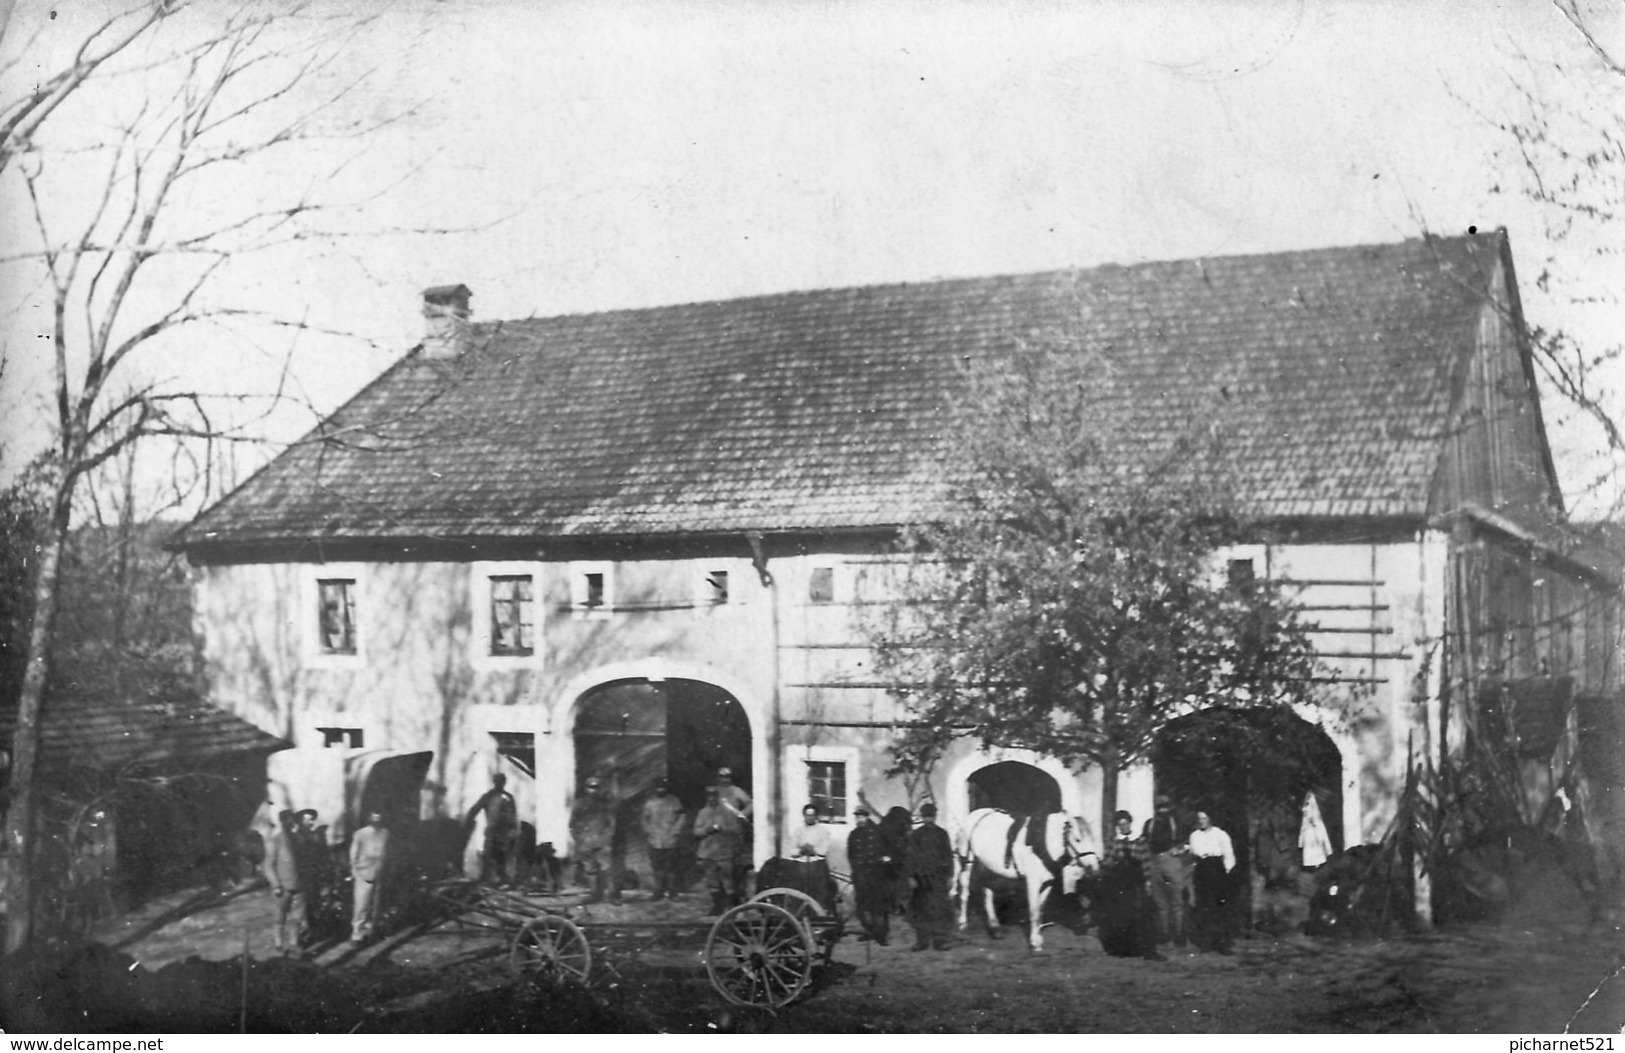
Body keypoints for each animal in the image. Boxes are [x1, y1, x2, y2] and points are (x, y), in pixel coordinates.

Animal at [955, 806, 1098, 955]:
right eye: (1077, 840)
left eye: (1093, 840)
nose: (1093, 869)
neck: (1044, 843)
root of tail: (976, 813)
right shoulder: (1032, 883)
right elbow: (1034, 912)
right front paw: (1034, 943)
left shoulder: (1047, 884)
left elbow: (1040, 911)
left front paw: (1037, 939)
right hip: (967, 862)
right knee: (964, 894)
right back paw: (963, 929)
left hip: (989, 867)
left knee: (987, 892)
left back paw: (995, 928)